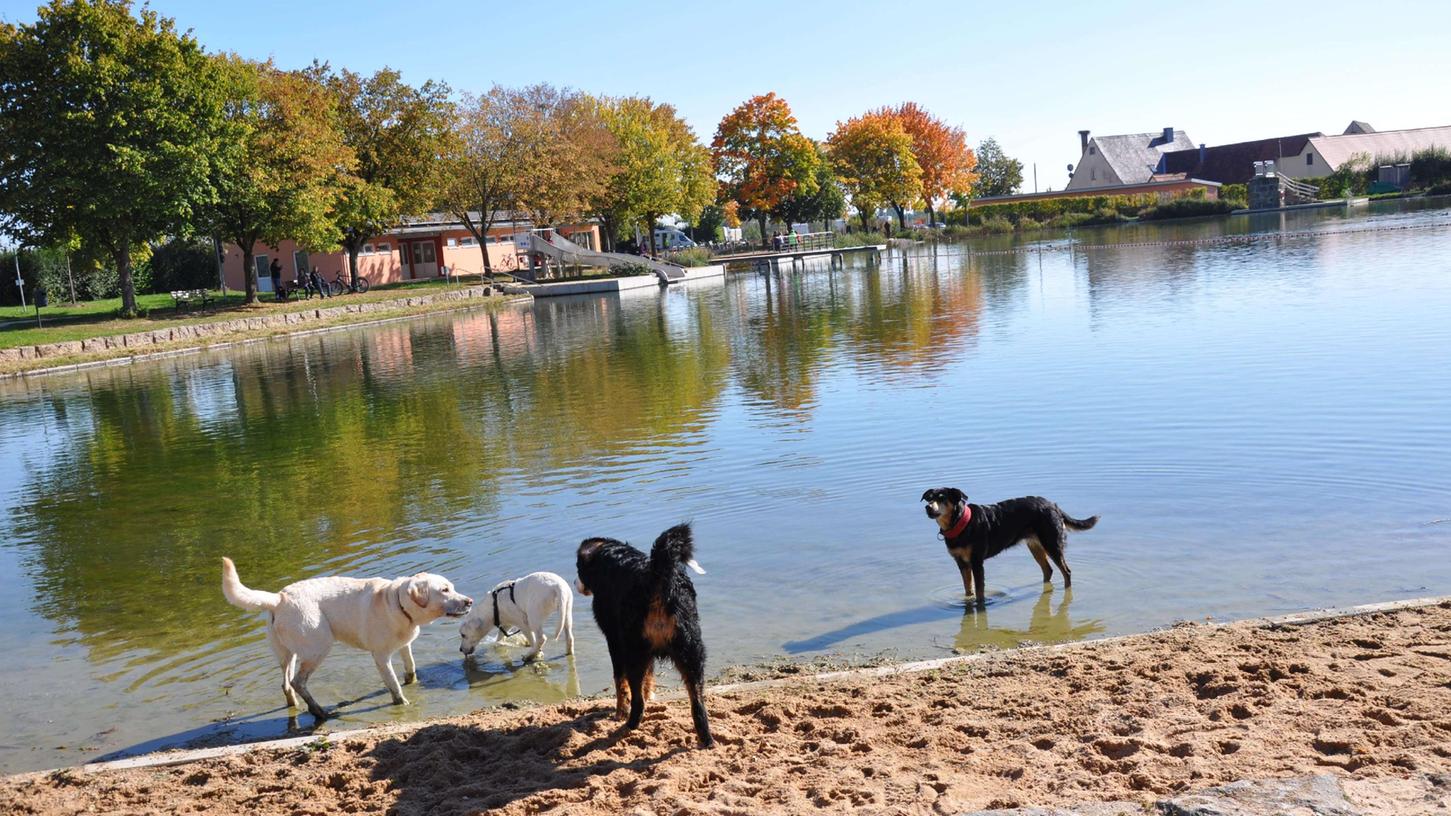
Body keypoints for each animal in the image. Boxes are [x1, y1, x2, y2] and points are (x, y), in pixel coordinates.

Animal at [577, 519, 713, 743]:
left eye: (578, 568)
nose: (575, 583)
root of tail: (656, 577)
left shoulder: (614, 640)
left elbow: (619, 681)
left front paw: (619, 711)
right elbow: (649, 676)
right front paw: (651, 695)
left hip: (635, 651)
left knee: (637, 701)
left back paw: (629, 724)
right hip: (691, 651)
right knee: (698, 704)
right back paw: (706, 739)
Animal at [922, 484, 1091, 601]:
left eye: (942, 498)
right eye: (930, 498)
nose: (927, 507)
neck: (961, 523)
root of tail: (1054, 505)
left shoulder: (977, 562)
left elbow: (980, 591)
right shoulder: (961, 562)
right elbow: (968, 589)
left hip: (1051, 543)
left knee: (1066, 572)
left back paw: (1066, 592)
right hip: (1035, 545)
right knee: (1048, 570)